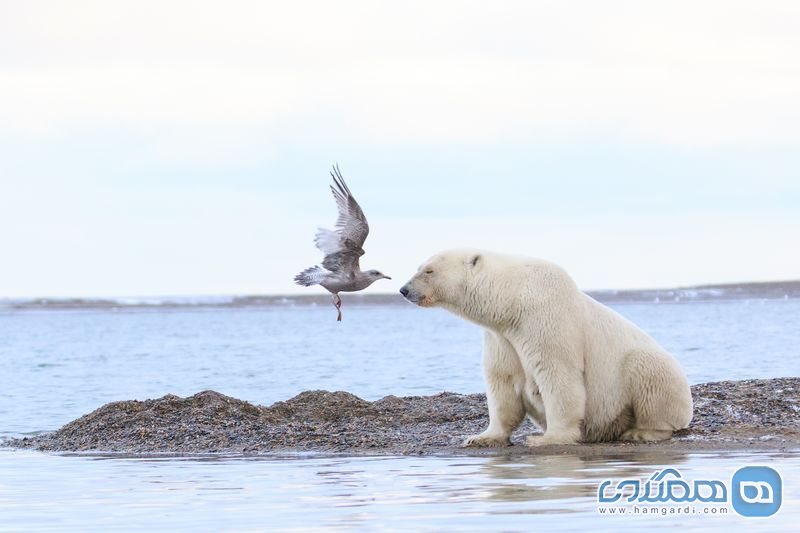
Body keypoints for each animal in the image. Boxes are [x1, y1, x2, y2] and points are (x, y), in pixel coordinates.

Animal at [400, 249, 692, 444]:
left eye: (428, 270)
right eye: (419, 266)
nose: (404, 289)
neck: (513, 302)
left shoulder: (546, 320)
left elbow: (558, 376)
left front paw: (548, 438)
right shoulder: (501, 337)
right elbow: (502, 382)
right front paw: (481, 437)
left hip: (652, 371)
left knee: (647, 374)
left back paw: (641, 431)